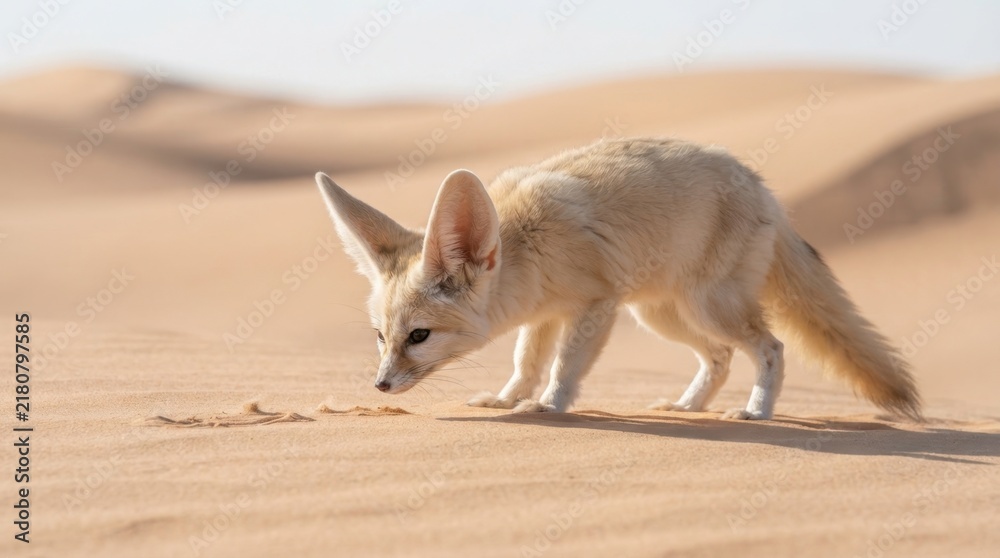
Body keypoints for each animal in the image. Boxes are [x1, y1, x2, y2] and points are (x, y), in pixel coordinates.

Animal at [315, 137, 920, 420]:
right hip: (661, 315)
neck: (524, 242)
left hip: (703, 306)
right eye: (380, 337)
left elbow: (563, 365)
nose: (379, 386)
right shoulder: (546, 315)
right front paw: (509, 400)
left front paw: (550, 406)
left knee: (770, 346)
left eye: (419, 336)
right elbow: (526, 362)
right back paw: (688, 407)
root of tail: (763, 186)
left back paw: (755, 410)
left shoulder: (595, 305)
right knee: (720, 357)